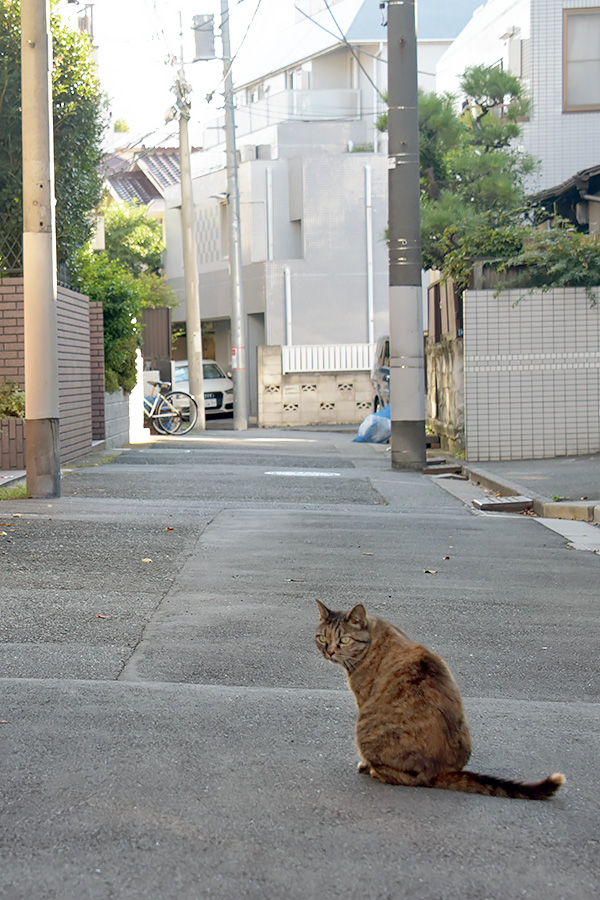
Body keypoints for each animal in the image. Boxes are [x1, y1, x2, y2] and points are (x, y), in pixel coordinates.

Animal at [316, 600, 564, 800]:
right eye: (322, 637)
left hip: (365, 728)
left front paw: (364, 765)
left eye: (344, 640)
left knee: (404, 778)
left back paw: (374, 770)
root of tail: (443, 770)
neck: (375, 634)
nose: (329, 651)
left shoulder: (362, 698)